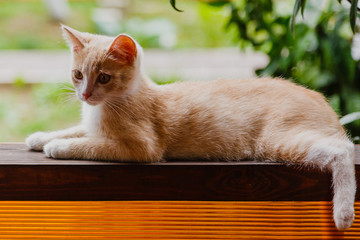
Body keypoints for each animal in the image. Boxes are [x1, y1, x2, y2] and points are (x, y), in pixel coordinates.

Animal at [26, 25, 356, 230]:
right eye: (78, 74)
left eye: (104, 78)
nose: (85, 95)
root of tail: (321, 100)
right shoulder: (92, 124)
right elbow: (77, 130)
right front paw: (41, 136)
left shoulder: (142, 147)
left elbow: (92, 144)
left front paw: (57, 146)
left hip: (279, 140)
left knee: (344, 149)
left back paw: (343, 212)